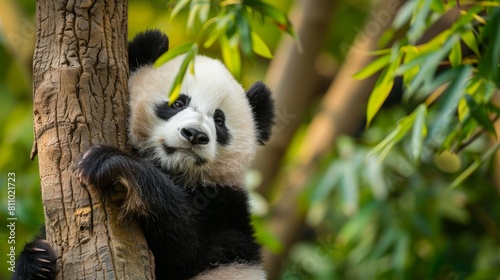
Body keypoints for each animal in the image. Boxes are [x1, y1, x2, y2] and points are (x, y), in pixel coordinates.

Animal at [11, 29, 276, 278]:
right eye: (178, 103)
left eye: (219, 121)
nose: (194, 134)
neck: (173, 170)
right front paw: (36, 259)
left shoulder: (224, 206)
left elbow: (186, 246)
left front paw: (109, 162)